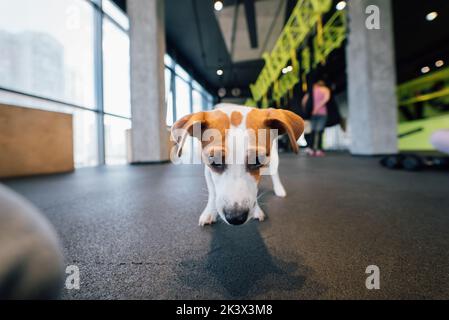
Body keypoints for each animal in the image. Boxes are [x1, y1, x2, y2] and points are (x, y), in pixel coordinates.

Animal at [172, 104, 304, 226]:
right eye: (214, 161)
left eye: (257, 160)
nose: (235, 217)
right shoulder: (208, 171)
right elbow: (213, 192)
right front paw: (209, 211)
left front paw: (256, 209)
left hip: (274, 160)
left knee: (275, 174)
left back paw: (279, 189)